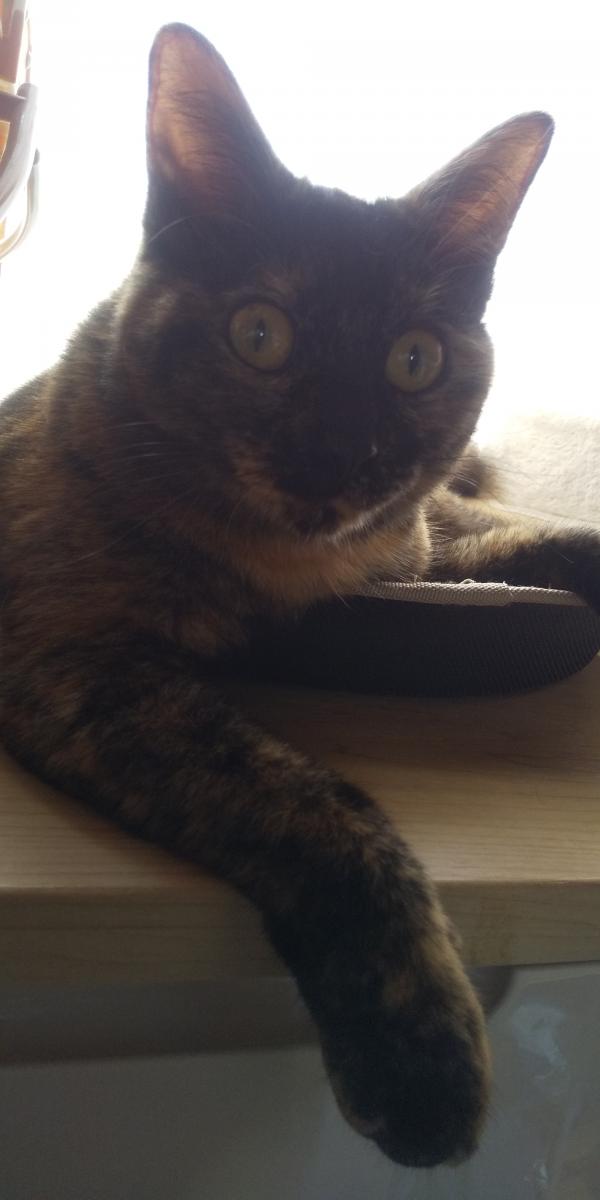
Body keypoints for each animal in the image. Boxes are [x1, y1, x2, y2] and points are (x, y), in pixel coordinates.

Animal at [1, 22, 599, 1169]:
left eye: (414, 361)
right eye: (260, 335)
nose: (337, 455)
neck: (299, 573)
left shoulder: (411, 542)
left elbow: (514, 533)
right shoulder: (69, 653)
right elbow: (313, 805)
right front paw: (419, 1053)